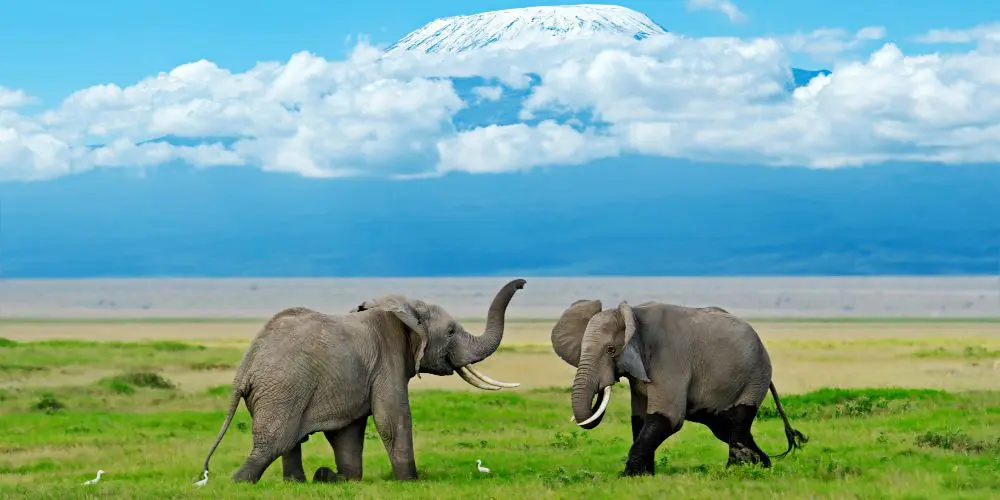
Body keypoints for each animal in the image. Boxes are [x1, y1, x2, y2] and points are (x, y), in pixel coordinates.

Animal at [199, 278, 527, 484]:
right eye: (450, 332)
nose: (523, 283)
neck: (405, 311)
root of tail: (246, 367)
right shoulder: (387, 360)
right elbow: (393, 418)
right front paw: (411, 481)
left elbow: (349, 431)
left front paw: (339, 477)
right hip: (282, 389)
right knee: (273, 443)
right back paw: (238, 483)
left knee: (288, 442)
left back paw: (301, 482)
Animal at [550, 299, 807, 477]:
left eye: (611, 350)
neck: (632, 314)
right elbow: (639, 419)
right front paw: (643, 476)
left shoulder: (669, 360)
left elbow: (668, 417)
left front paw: (627, 476)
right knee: (725, 427)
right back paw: (763, 465)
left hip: (754, 376)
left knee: (737, 420)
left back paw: (735, 471)